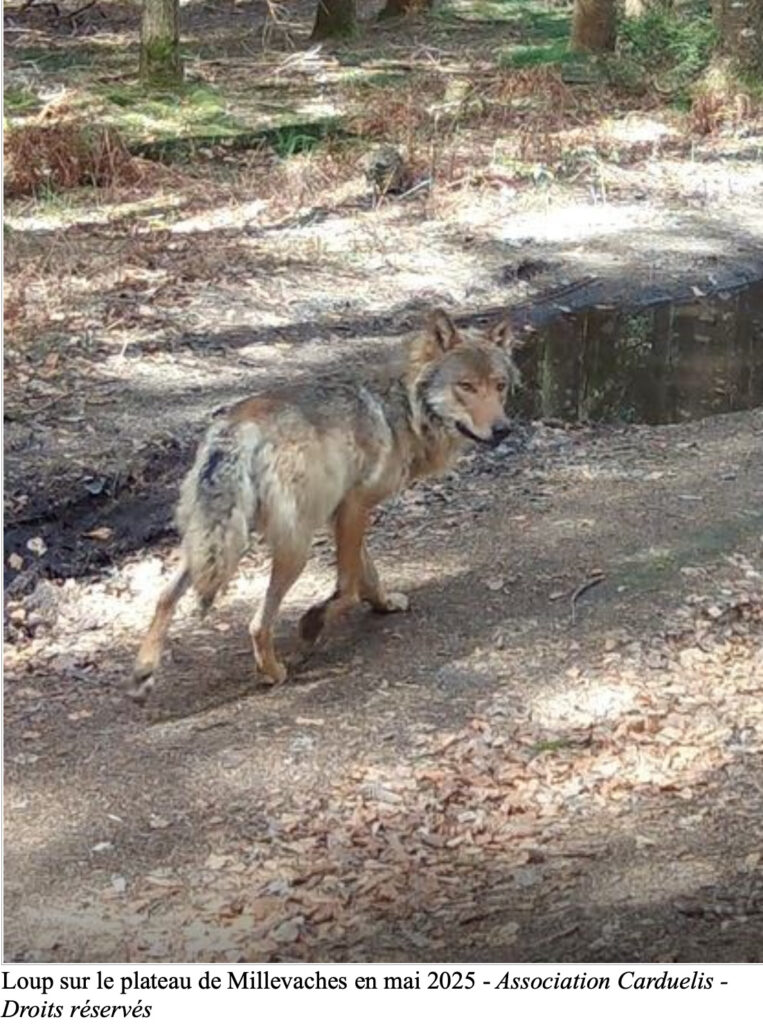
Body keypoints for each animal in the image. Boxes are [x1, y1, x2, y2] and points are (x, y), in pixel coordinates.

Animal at [129, 308, 522, 702]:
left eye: (500, 385)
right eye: (466, 386)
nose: (503, 429)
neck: (403, 404)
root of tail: (240, 425)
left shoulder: (343, 513)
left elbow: (367, 575)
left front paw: (383, 604)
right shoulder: (355, 507)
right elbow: (347, 589)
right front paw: (312, 624)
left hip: (220, 540)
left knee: (165, 596)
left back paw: (143, 673)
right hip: (295, 548)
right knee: (257, 622)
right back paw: (272, 672)